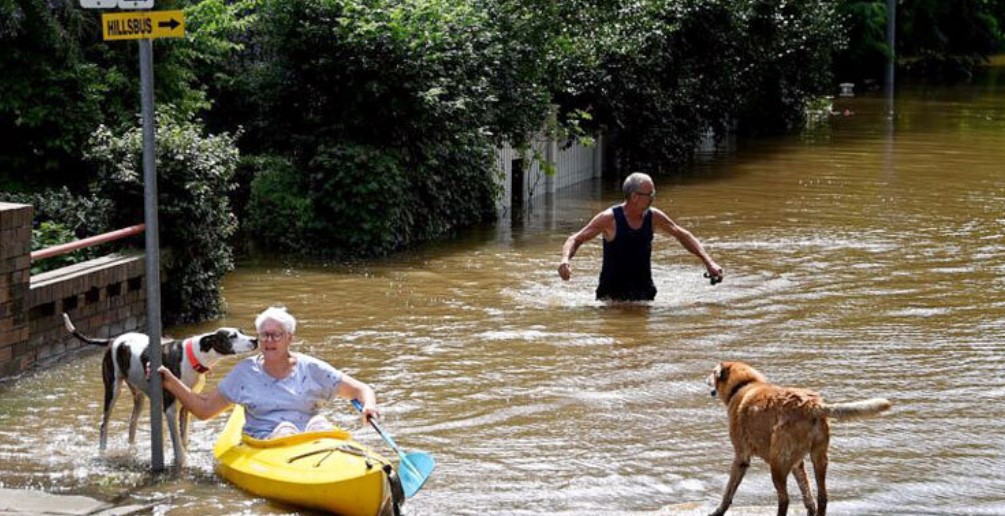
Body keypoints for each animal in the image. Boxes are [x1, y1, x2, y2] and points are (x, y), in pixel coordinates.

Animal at [62, 311, 257, 464]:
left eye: (241, 332)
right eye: (232, 336)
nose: (255, 339)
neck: (193, 355)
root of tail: (114, 339)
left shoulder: (187, 405)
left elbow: (183, 439)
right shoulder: (170, 407)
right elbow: (177, 444)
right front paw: (181, 463)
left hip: (138, 397)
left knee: (132, 424)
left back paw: (131, 450)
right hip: (112, 390)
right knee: (104, 424)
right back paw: (102, 452)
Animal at [703, 362, 892, 514]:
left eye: (712, 372)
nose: (705, 380)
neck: (744, 385)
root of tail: (812, 406)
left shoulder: (741, 457)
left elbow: (728, 493)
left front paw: (717, 511)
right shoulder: (797, 464)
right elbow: (807, 494)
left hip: (777, 465)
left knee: (784, 499)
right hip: (818, 458)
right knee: (820, 497)